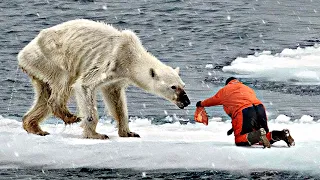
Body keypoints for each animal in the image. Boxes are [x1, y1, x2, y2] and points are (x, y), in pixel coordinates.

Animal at [17, 19, 190, 139]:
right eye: (173, 87)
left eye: (183, 85)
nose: (186, 101)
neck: (131, 56)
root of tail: (22, 53)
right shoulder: (110, 62)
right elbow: (84, 85)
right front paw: (96, 134)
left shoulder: (118, 76)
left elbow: (115, 98)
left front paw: (129, 132)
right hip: (49, 58)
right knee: (63, 82)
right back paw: (69, 115)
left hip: (38, 68)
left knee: (44, 95)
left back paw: (35, 127)